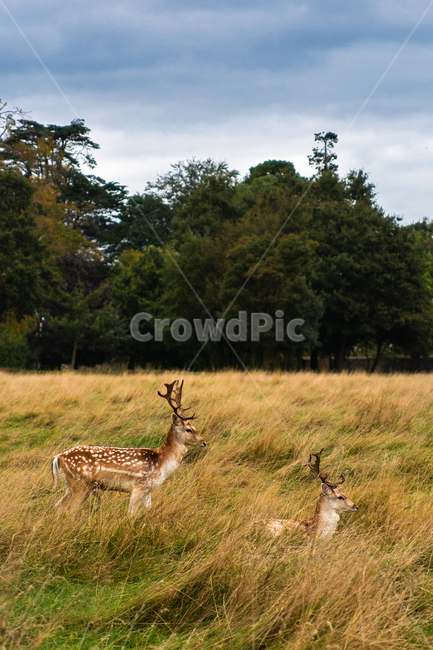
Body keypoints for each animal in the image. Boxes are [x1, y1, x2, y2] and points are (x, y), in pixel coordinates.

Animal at [51, 380, 206, 516]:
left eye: (194, 427)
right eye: (188, 429)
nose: (203, 442)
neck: (161, 463)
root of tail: (57, 458)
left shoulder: (148, 490)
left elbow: (148, 510)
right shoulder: (139, 486)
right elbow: (131, 514)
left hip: (73, 485)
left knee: (58, 505)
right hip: (80, 484)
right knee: (70, 509)